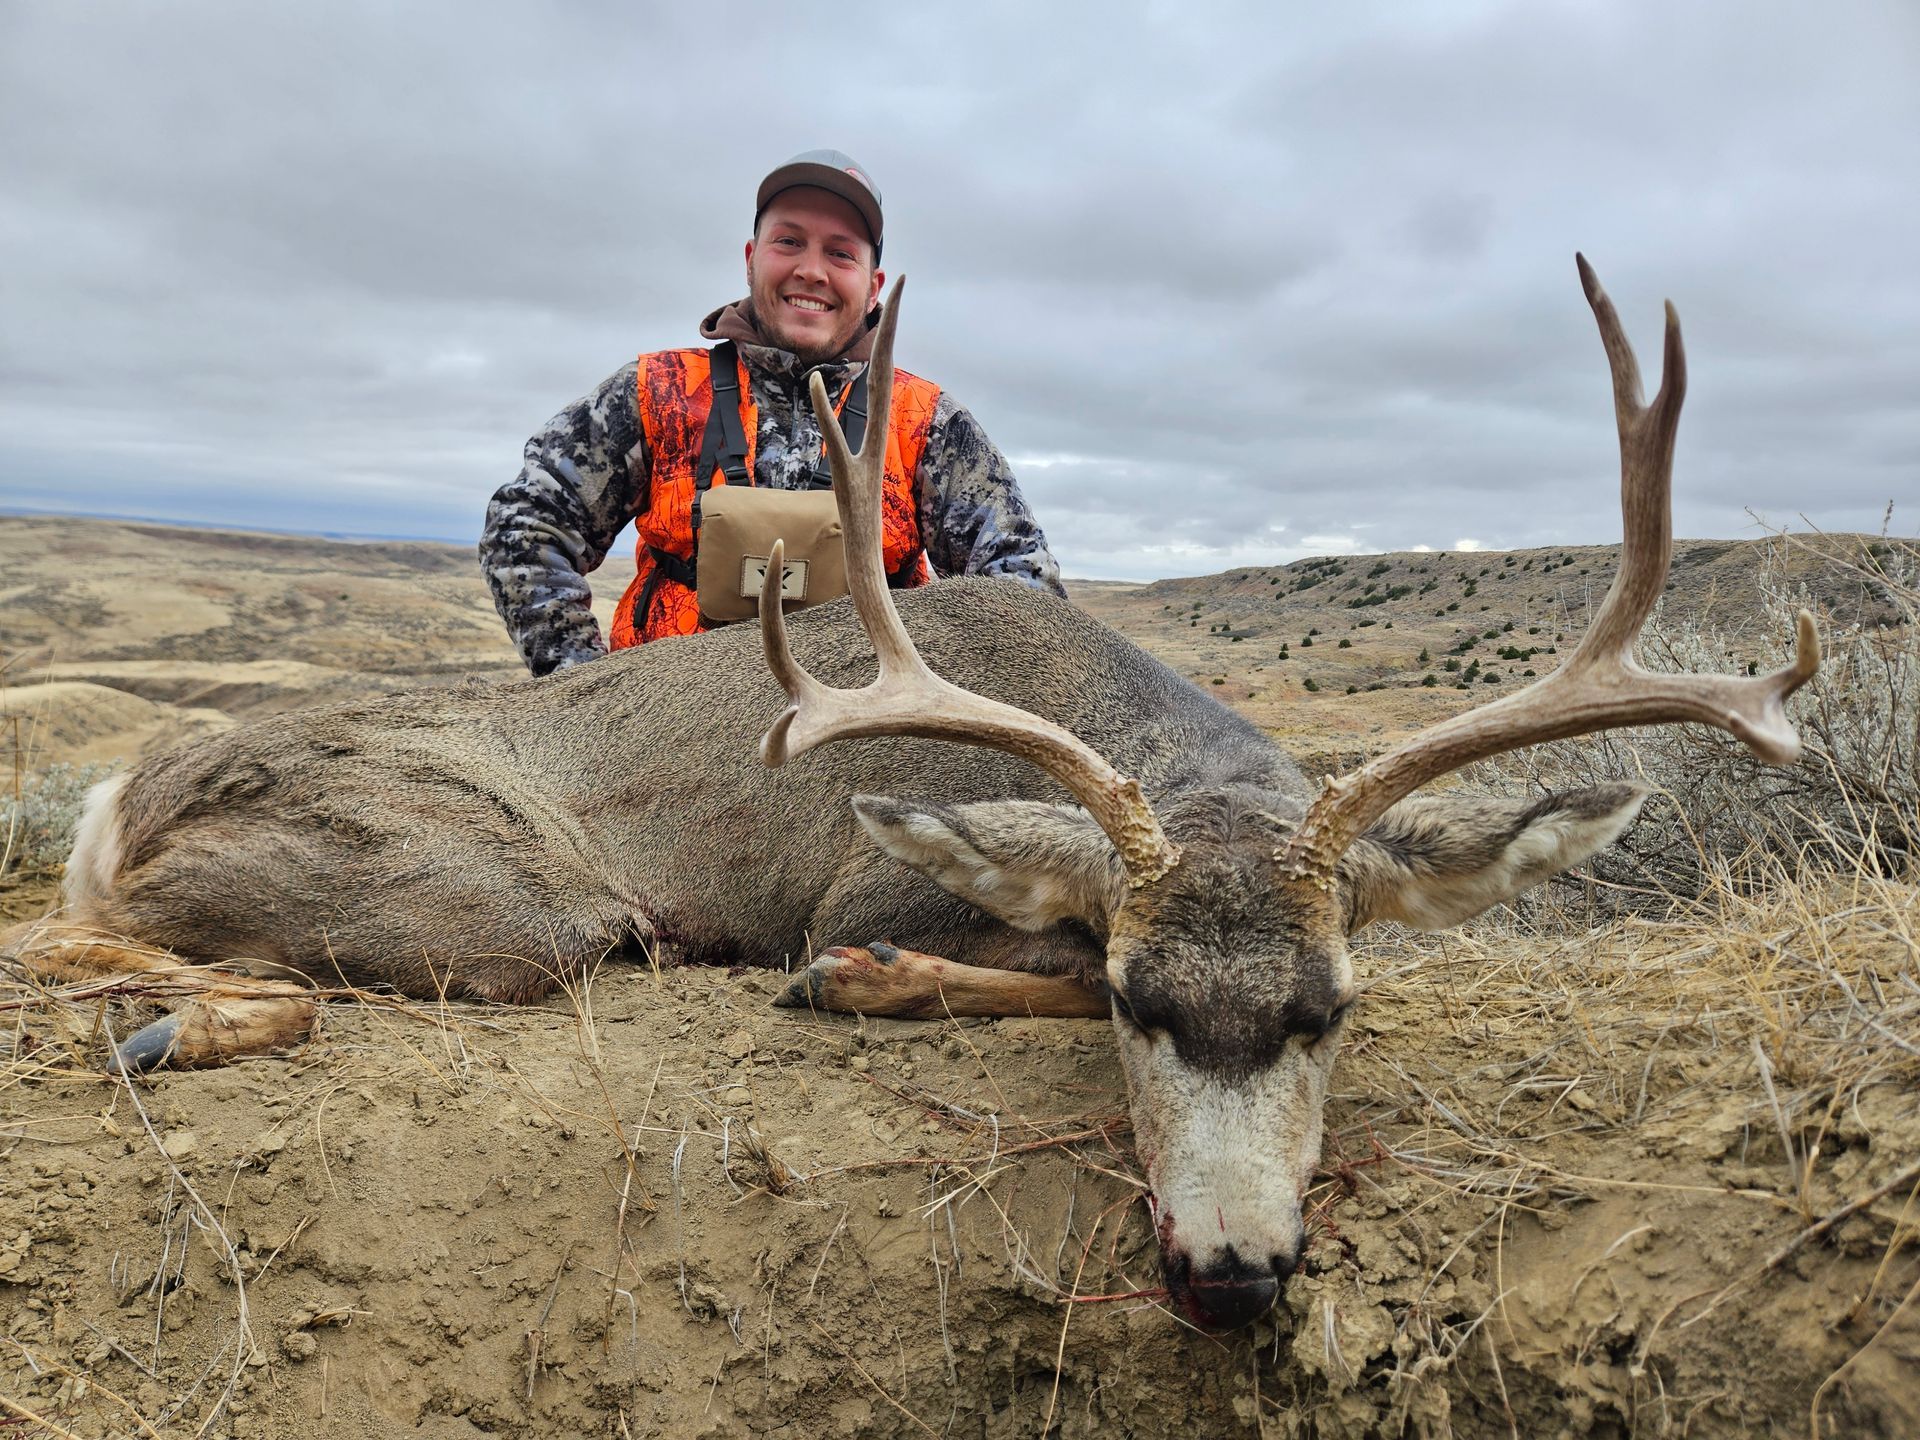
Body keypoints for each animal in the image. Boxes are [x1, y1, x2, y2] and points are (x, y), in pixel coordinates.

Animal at [4, 258, 1818, 1332]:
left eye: (1332, 1009)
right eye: (1141, 1000)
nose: (1233, 1276)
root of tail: (115, 792)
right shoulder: (874, 878)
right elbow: (964, 956)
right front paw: (866, 978)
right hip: (507, 894)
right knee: (94, 947)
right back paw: (177, 1028)